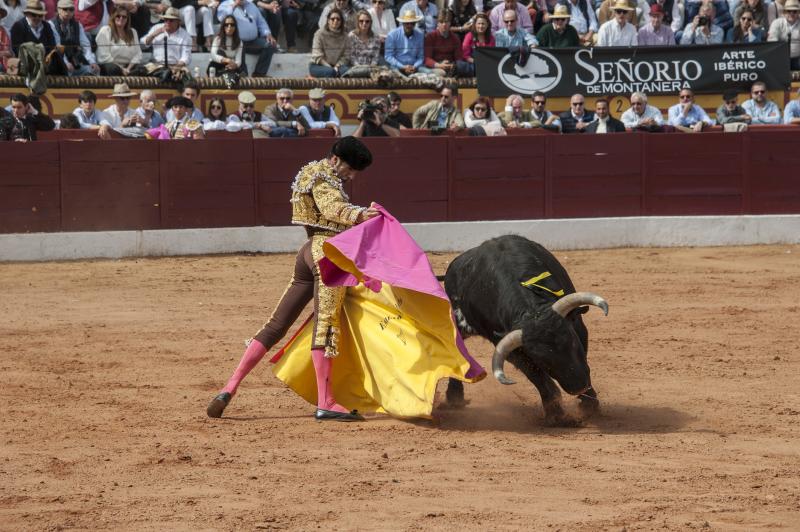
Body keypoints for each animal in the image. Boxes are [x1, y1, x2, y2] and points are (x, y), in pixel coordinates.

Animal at [444, 235, 608, 426]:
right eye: (540, 360)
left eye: (573, 343)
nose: (578, 386)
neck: (531, 310)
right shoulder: (512, 350)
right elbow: (539, 379)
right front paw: (556, 415)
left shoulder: (578, 327)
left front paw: (589, 404)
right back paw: (454, 398)